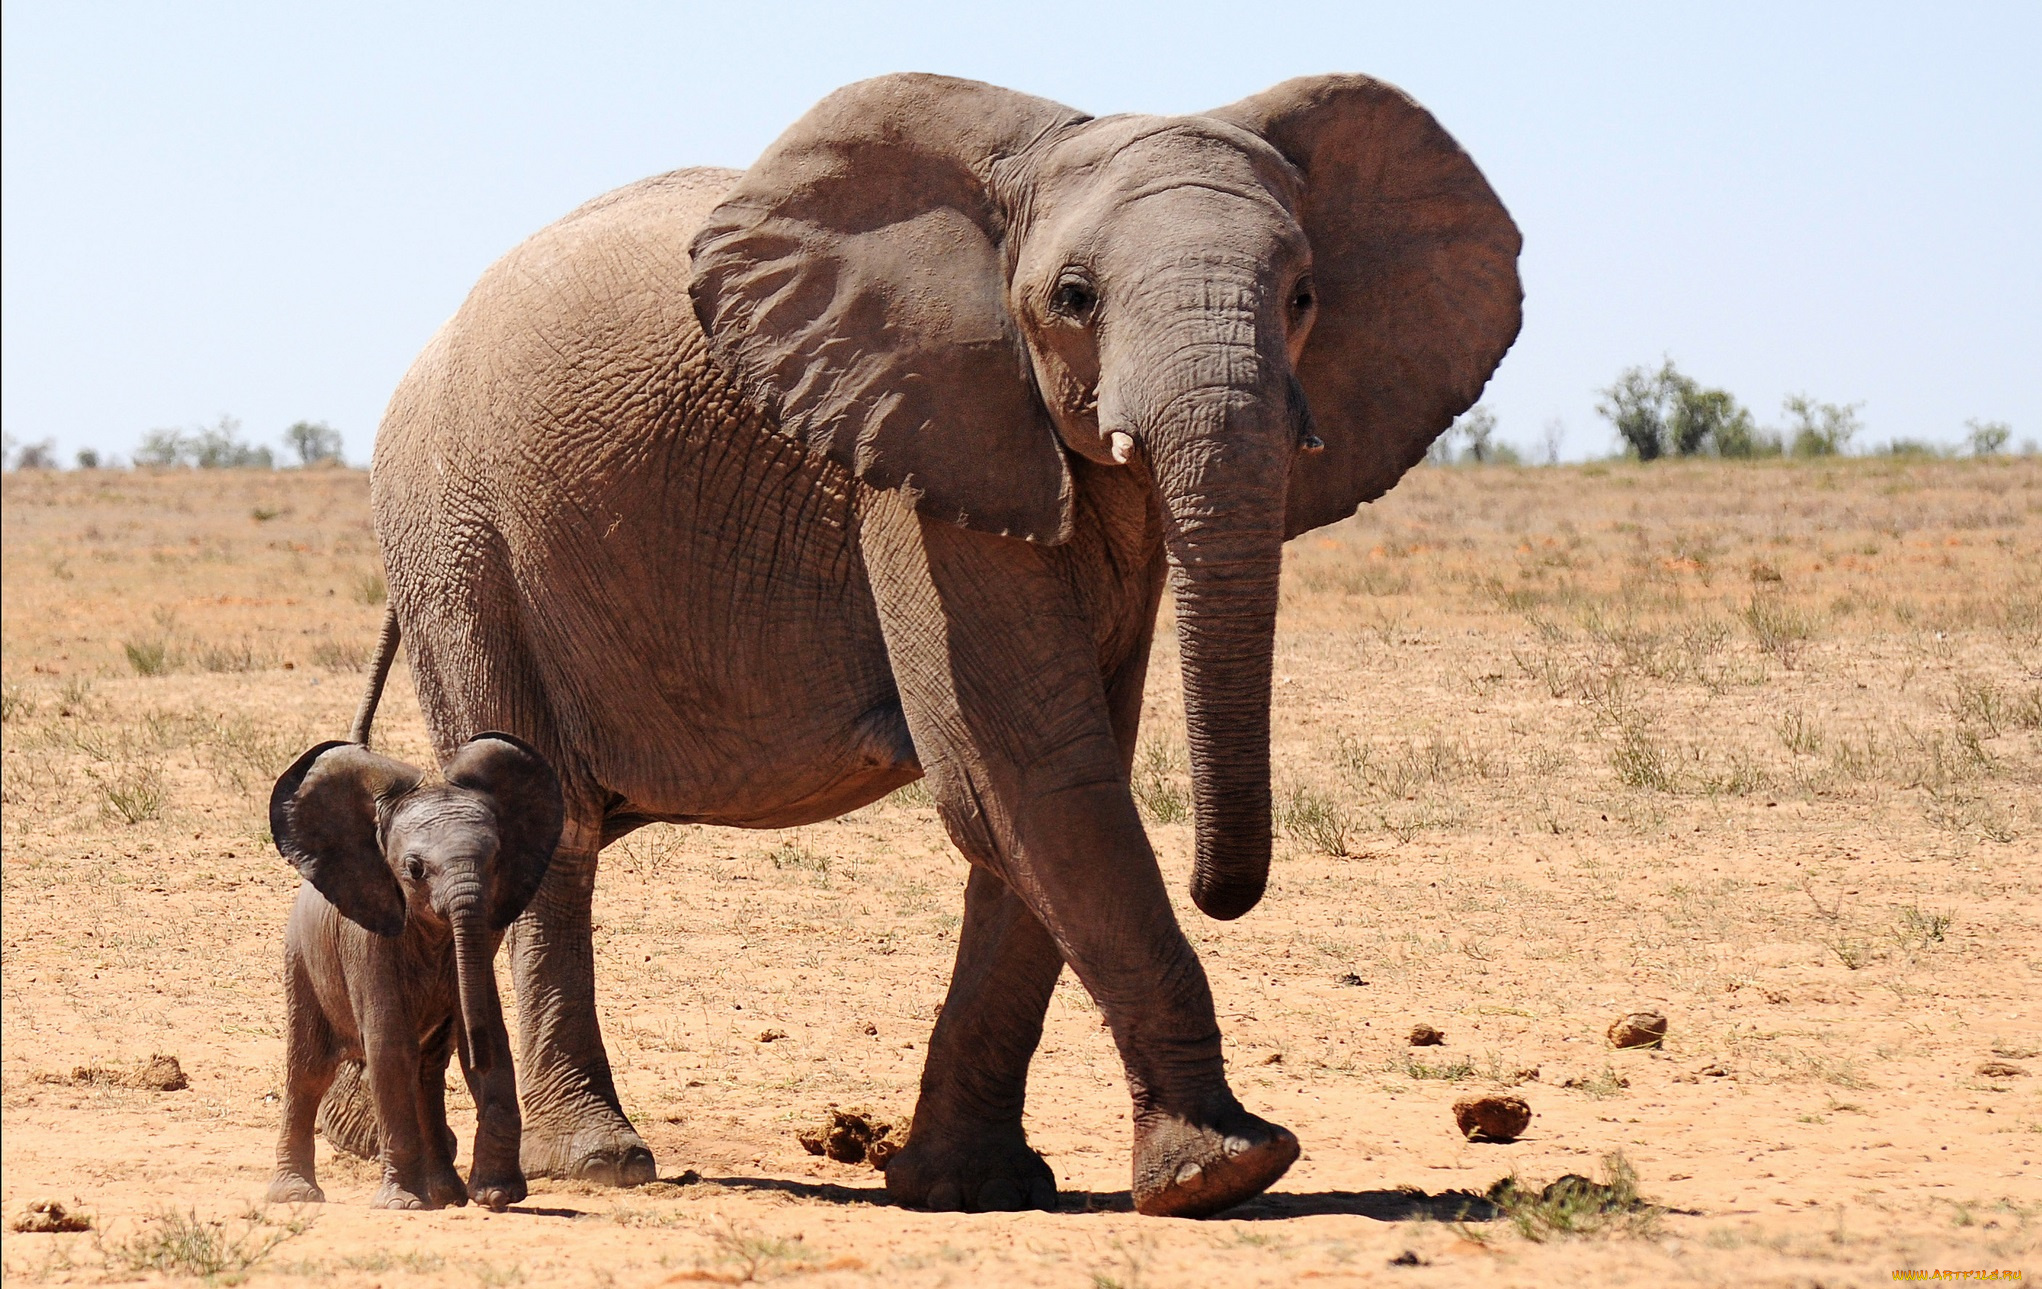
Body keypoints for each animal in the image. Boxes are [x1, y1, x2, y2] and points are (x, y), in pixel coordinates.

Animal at [267, 735, 567, 1209]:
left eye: (495, 860)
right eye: (414, 869)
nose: (495, 1197)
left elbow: (490, 1036)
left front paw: (497, 1194)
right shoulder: (366, 943)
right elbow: (390, 1048)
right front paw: (402, 1204)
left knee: (428, 1072)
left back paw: (446, 1196)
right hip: (301, 960)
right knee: (309, 1071)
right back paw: (296, 1196)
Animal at [351, 73, 1519, 1217]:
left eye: (1302, 297)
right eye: (1074, 298)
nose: (1220, 890)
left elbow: (1044, 792)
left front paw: (972, 1186)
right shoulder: (915, 454)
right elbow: (1028, 767)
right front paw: (1226, 1170)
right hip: (458, 535)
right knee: (547, 821)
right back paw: (590, 1161)